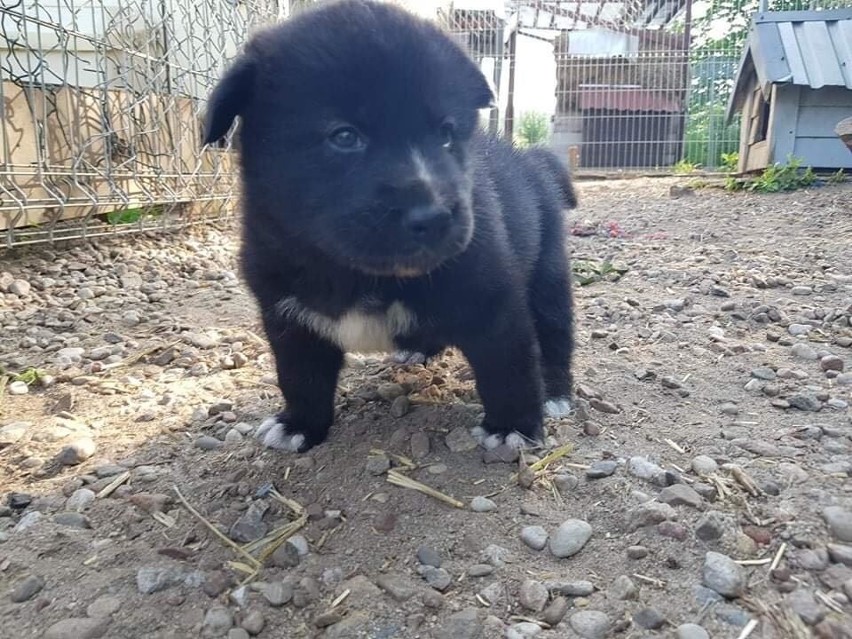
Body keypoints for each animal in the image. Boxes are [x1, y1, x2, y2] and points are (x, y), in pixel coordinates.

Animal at [202, 0, 576, 456]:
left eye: (446, 134)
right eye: (344, 136)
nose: (435, 217)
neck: (356, 274)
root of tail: (531, 160)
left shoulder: (493, 300)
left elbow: (509, 369)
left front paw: (513, 428)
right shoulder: (286, 316)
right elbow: (300, 377)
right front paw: (299, 425)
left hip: (548, 275)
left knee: (554, 336)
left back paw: (555, 393)